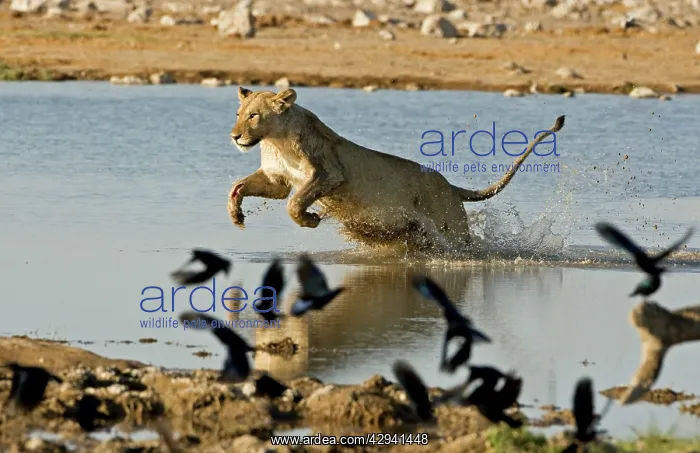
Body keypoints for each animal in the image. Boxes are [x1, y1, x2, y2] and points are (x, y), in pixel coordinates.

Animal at [227, 87, 565, 251]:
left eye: (254, 116)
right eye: (238, 114)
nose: (234, 136)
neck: (275, 141)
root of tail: (448, 185)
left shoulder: (329, 172)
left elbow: (295, 203)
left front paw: (310, 220)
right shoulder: (276, 179)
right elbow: (239, 186)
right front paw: (236, 215)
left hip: (450, 227)